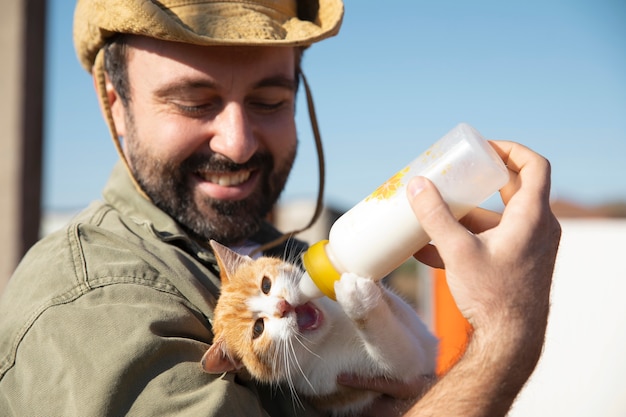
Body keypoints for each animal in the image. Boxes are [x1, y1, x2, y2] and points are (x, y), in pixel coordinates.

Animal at [202, 239, 436, 414]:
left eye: (266, 285)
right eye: (258, 329)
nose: (282, 306)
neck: (331, 332)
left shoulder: (421, 334)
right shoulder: (344, 381)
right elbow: (399, 355)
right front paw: (356, 299)